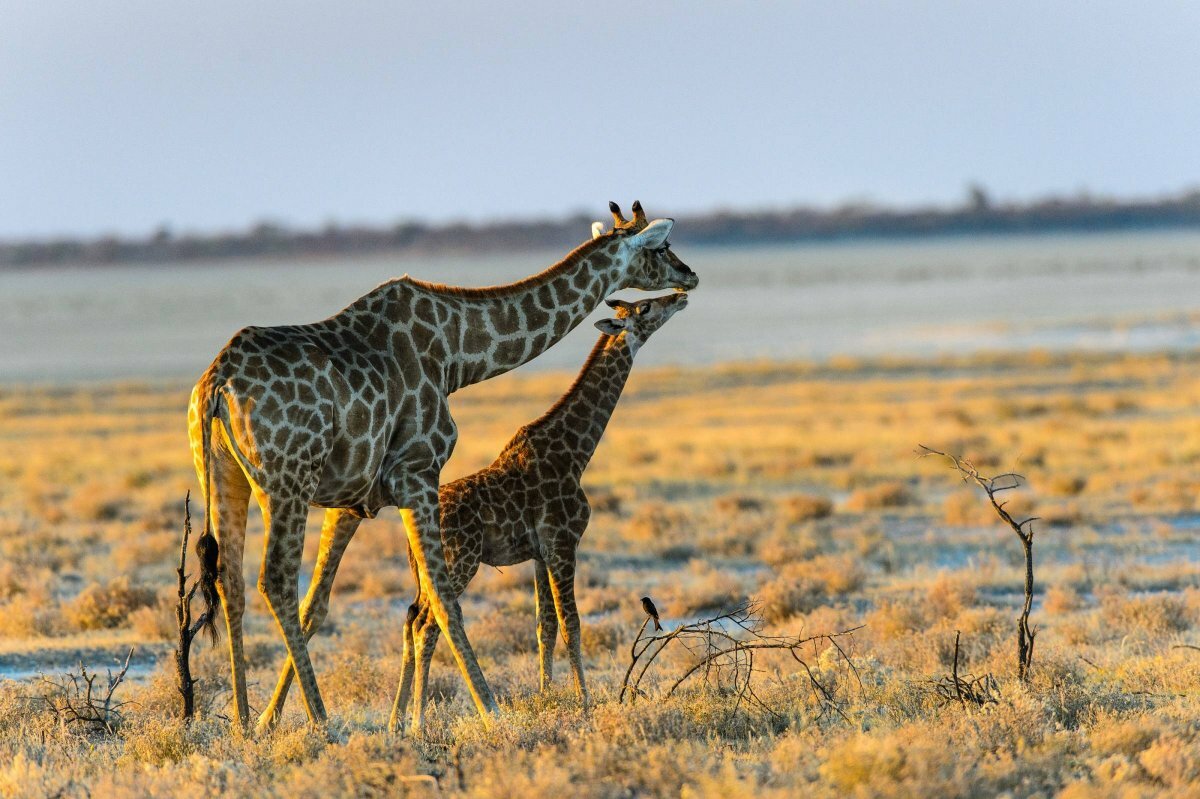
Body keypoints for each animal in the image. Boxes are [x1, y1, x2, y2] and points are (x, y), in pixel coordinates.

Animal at [389, 290, 688, 734]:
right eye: (646, 308)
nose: (680, 297)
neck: (577, 452)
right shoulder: (564, 542)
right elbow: (571, 623)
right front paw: (584, 701)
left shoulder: (539, 553)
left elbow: (543, 625)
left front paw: (546, 695)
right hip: (460, 562)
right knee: (430, 622)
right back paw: (418, 722)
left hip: (426, 572)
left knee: (411, 618)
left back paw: (395, 720)